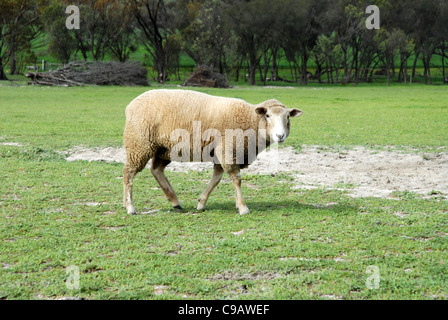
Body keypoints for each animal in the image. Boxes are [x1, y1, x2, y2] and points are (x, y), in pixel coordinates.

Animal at [122, 89, 304, 215]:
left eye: (288, 117)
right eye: (267, 115)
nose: (280, 136)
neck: (250, 121)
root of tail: (131, 105)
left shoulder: (220, 153)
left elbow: (216, 179)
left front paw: (201, 203)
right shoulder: (228, 149)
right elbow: (236, 179)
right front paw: (243, 207)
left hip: (164, 148)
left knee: (156, 170)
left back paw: (175, 202)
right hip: (138, 145)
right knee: (128, 173)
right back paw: (130, 207)